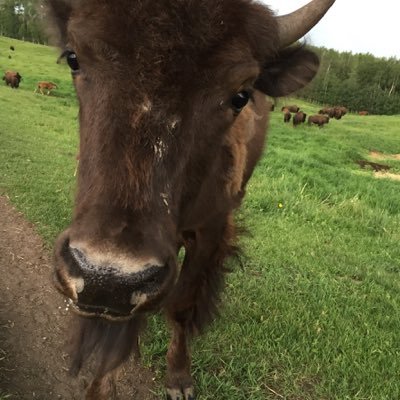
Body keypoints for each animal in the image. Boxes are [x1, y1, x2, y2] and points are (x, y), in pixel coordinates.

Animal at [46, 1, 334, 398]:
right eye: (73, 58)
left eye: (240, 95)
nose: (109, 277)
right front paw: (100, 386)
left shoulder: (210, 232)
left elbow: (182, 305)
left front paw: (179, 379)